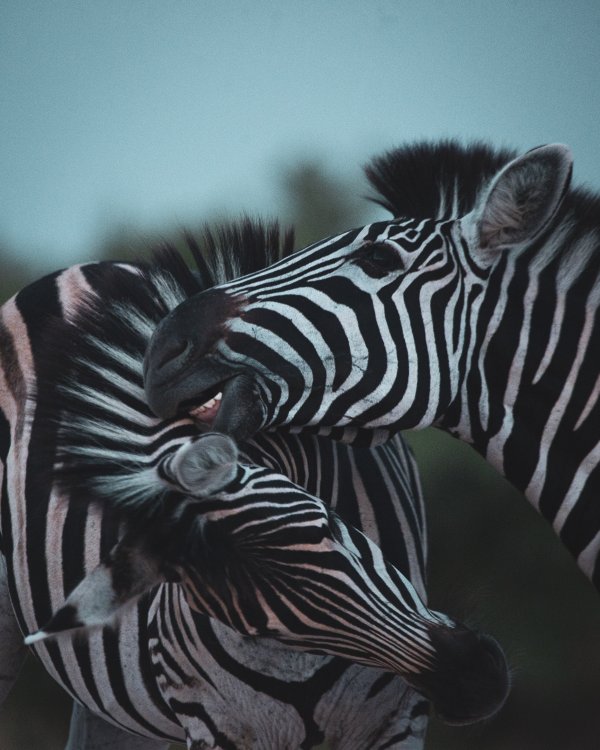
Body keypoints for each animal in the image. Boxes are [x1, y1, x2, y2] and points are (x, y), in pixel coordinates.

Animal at [0, 220, 508, 749]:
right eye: (258, 623)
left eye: (329, 525)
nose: (474, 684)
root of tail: (89, 268)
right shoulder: (218, 727)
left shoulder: (398, 723)